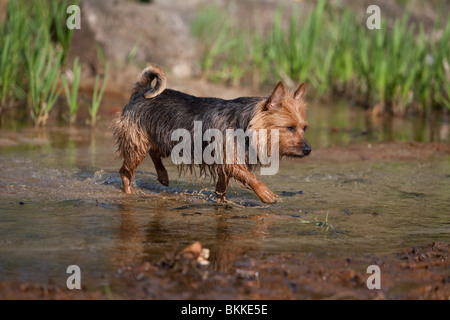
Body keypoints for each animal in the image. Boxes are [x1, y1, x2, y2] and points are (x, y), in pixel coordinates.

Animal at [112, 64, 310, 204]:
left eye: (304, 128)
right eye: (290, 127)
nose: (308, 150)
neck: (245, 124)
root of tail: (141, 92)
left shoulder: (225, 164)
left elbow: (221, 189)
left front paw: (221, 202)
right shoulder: (230, 160)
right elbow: (250, 177)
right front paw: (266, 193)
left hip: (168, 142)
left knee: (154, 152)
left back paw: (162, 175)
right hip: (137, 146)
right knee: (125, 171)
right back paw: (129, 192)